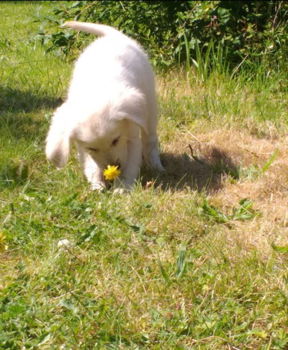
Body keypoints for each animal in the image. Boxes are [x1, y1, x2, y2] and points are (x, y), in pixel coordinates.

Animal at [45, 21, 164, 191]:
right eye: (92, 148)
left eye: (115, 140)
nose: (115, 166)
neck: (97, 91)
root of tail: (114, 36)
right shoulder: (83, 148)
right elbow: (91, 164)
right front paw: (97, 183)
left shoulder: (132, 136)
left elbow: (131, 163)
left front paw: (122, 186)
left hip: (149, 107)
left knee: (150, 139)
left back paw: (155, 165)